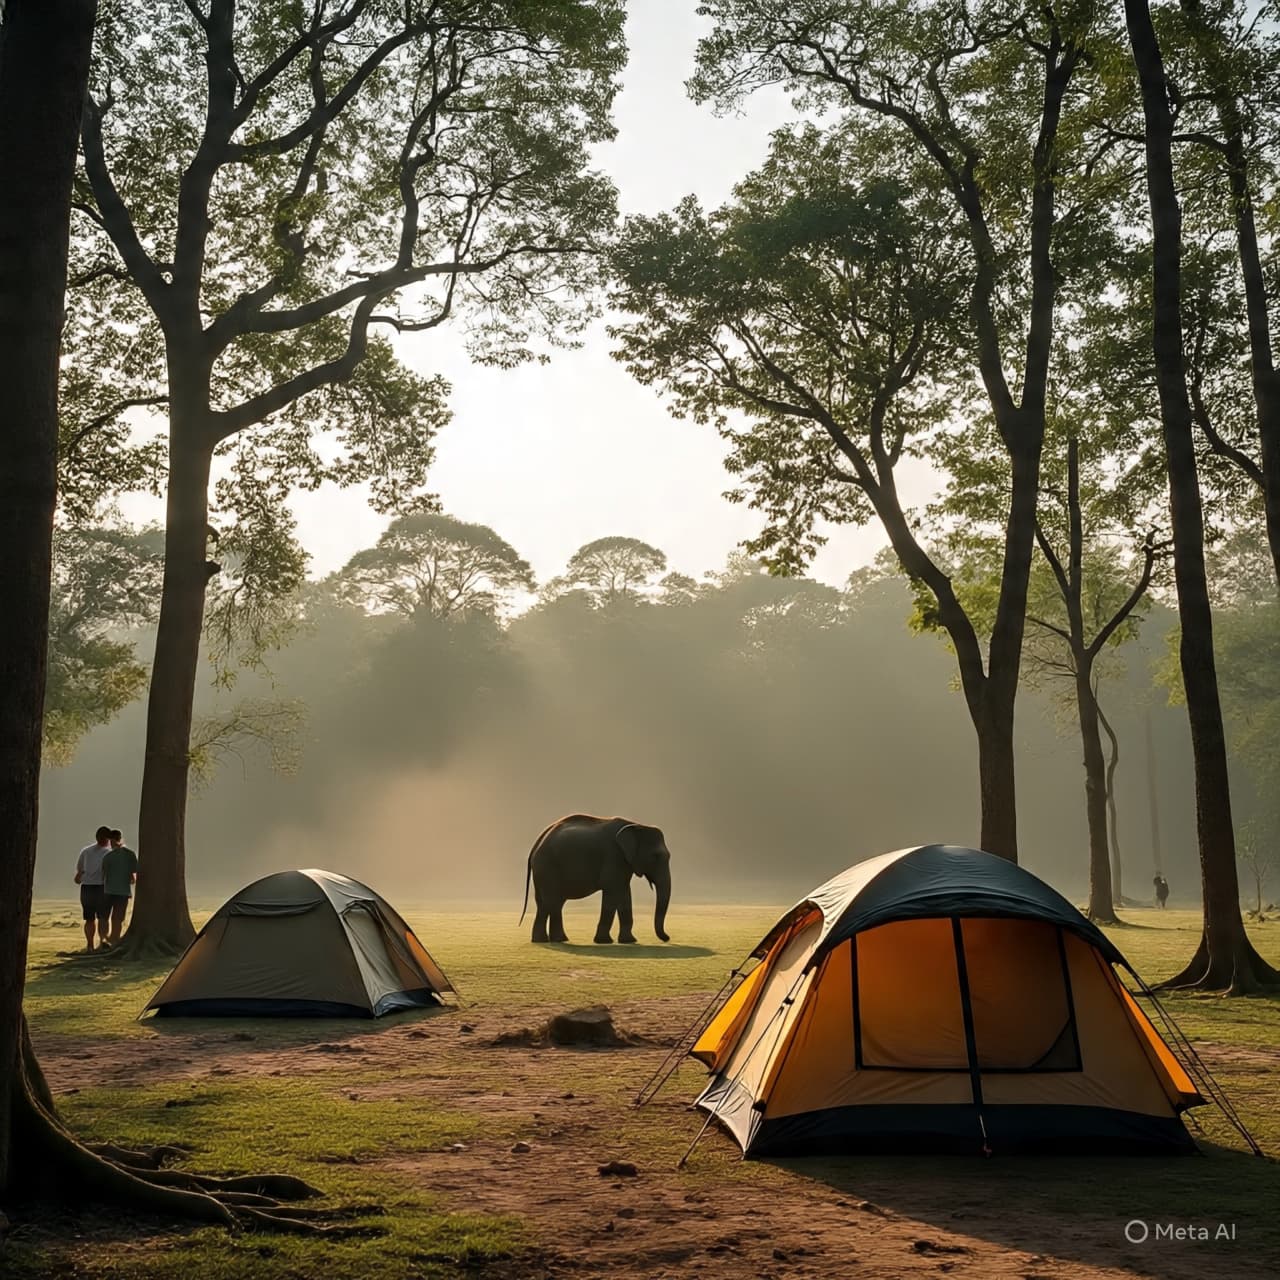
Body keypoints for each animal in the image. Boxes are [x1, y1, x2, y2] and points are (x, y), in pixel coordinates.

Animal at [520, 814, 672, 944]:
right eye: (655, 856)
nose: (667, 938)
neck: (637, 825)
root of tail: (536, 845)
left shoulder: (624, 863)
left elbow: (624, 894)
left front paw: (629, 941)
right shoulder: (613, 857)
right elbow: (612, 893)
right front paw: (605, 941)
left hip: (543, 872)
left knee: (548, 903)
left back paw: (551, 940)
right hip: (547, 868)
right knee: (551, 902)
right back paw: (552, 940)